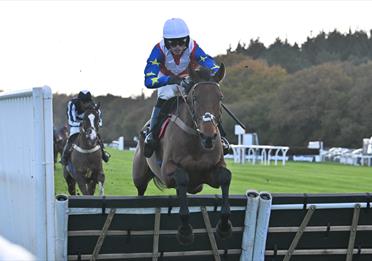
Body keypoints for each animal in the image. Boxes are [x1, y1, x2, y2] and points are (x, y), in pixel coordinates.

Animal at [133, 64, 232, 245]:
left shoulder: (210, 173)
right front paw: (185, 231)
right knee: (141, 190)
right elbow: (182, 177)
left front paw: (224, 227)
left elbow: (225, 177)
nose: (208, 136)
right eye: (195, 98)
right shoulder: (167, 172)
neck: (196, 142)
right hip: (139, 176)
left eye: (220, 97)